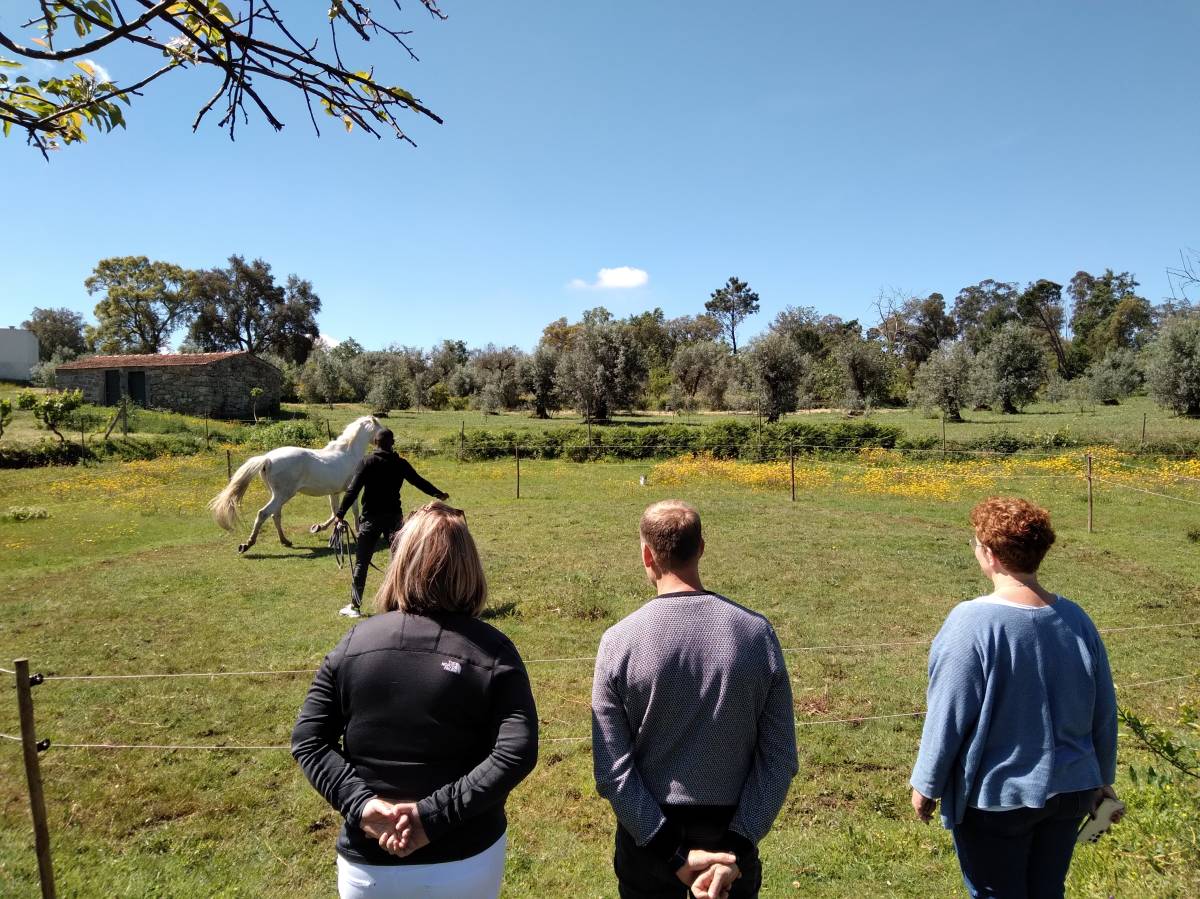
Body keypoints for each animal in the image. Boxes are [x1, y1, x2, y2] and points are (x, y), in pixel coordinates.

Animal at [208, 415, 381, 554]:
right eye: (382, 429)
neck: (349, 453)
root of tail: (267, 459)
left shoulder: (334, 492)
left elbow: (336, 512)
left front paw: (319, 528)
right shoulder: (351, 490)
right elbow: (353, 512)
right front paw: (357, 533)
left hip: (277, 494)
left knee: (275, 515)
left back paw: (285, 541)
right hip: (284, 494)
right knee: (263, 513)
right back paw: (247, 544)